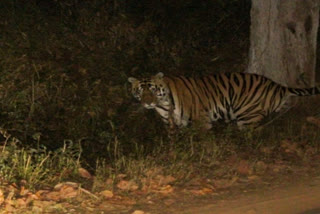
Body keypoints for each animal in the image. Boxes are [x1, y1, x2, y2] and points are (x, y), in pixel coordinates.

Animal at [128, 72, 320, 130]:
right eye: (140, 91)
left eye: (153, 90)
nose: (147, 103)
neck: (163, 104)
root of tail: (277, 85)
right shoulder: (172, 125)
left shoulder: (201, 119)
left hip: (247, 116)